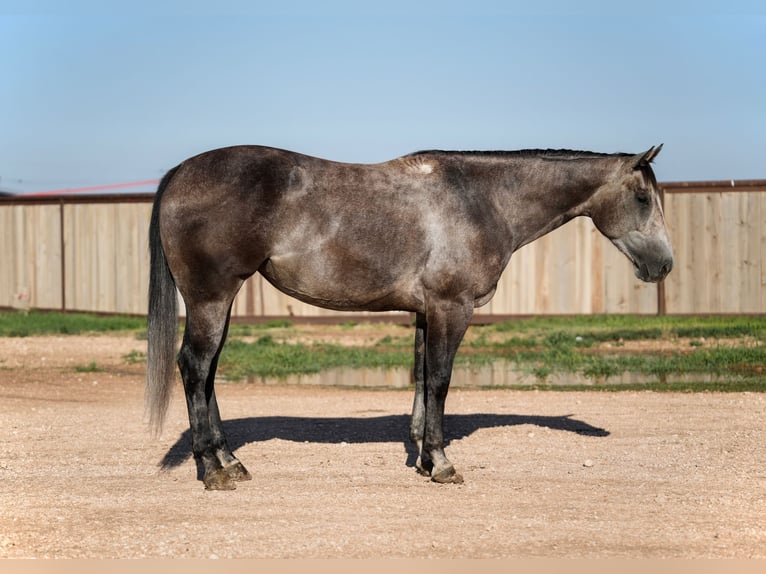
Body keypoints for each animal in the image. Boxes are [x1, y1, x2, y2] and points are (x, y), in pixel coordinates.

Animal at [146, 144, 673, 490]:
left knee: (207, 373)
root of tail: (181, 172)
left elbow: (420, 380)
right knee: (194, 367)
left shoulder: (424, 312)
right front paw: (442, 464)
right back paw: (212, 471)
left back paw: (230, 460)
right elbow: (439, 380)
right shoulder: (450, 308)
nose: (663, 265)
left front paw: (422, 458)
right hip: (212, 298)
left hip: (220, 301)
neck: (480, 199)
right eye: (643, 199)